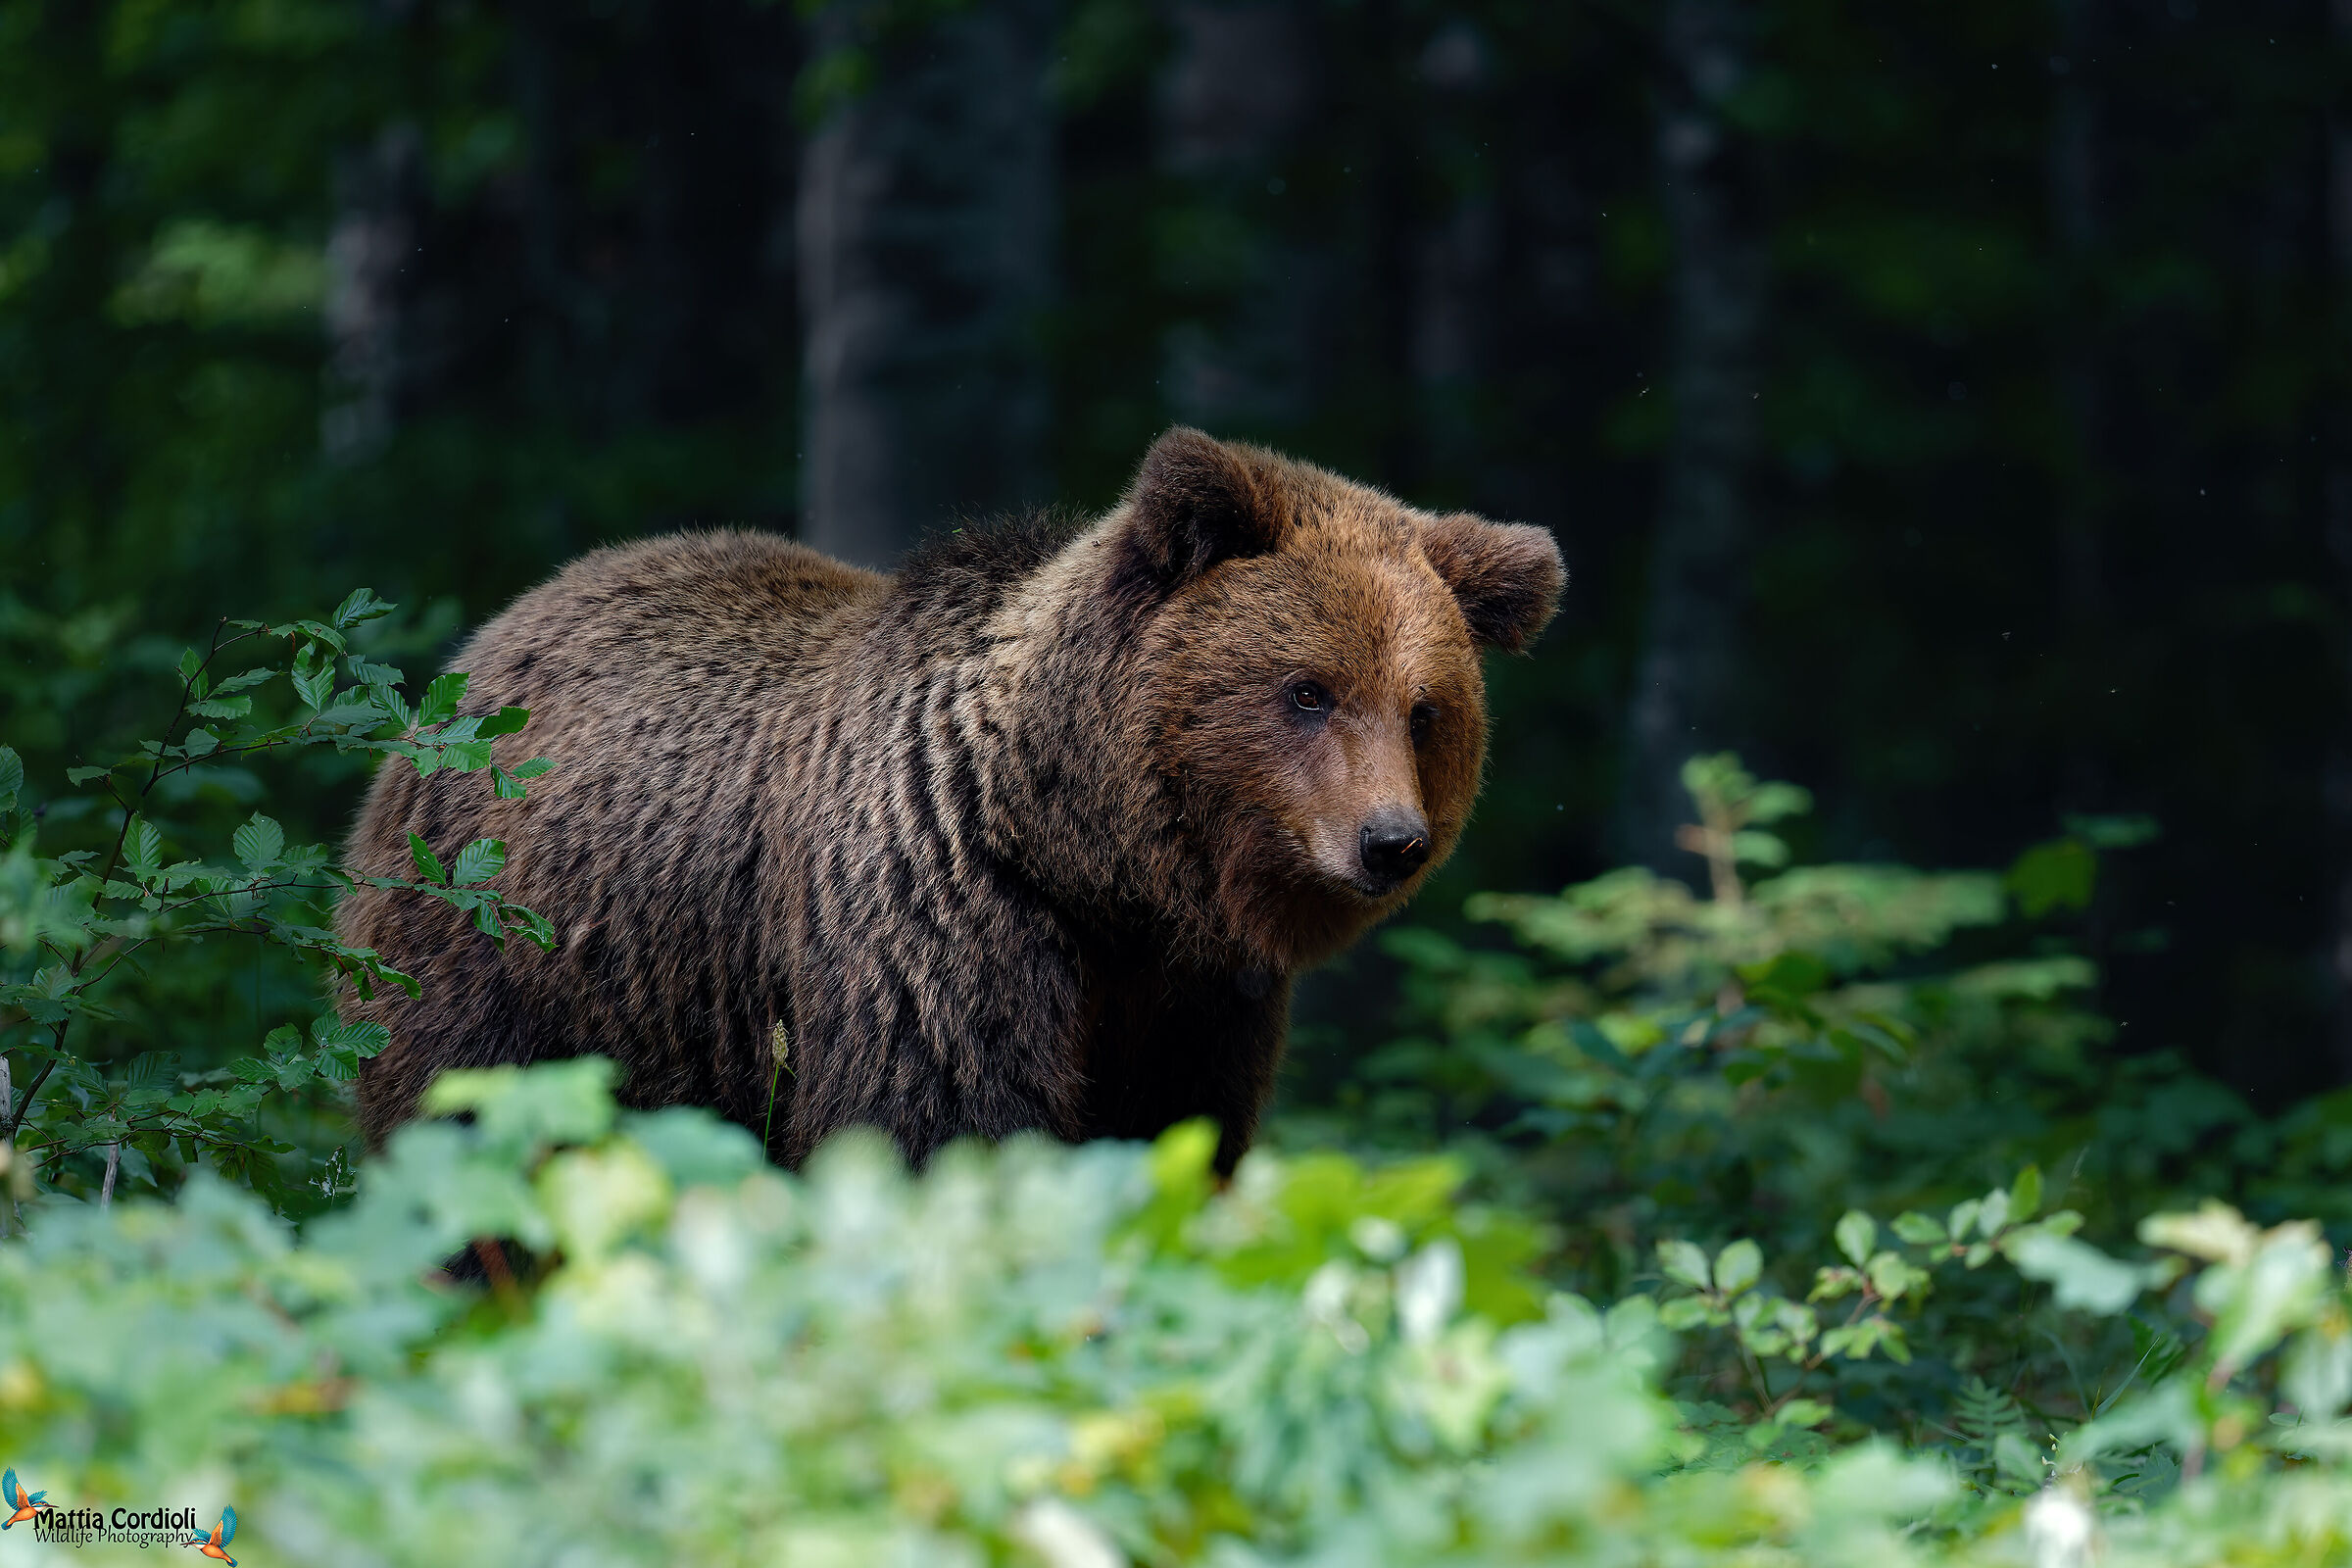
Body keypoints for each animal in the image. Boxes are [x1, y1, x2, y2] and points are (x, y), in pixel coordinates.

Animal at [338, 428, 1564, 1171]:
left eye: (1424, 708)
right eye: (1307, 689)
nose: (1389, 840)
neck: (1087, 861)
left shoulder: (1189, 1002)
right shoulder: (935, 932)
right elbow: (941, 1133)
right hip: (504, 961)